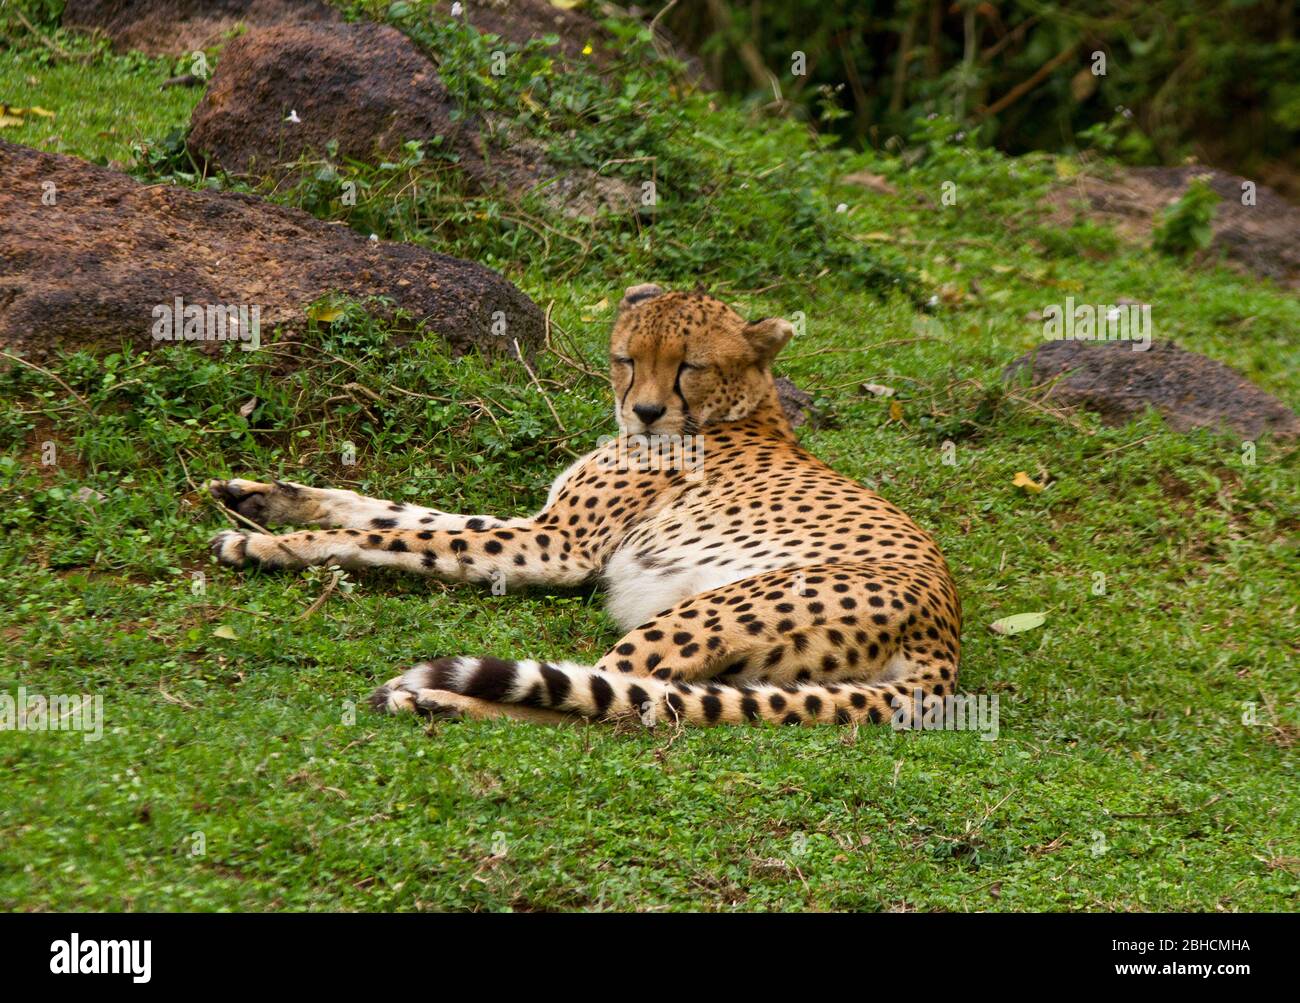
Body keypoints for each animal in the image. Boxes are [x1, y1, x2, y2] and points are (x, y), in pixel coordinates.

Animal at [208, 281, 961, 727]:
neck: (738, 412)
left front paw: (269, 545)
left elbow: (402, 539)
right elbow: (396, 514)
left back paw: (433, 694)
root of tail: (943, 639)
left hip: (705, 612)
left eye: (690, 365)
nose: (646, 411)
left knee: (605, 700)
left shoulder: (556, 545)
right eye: (628, 357)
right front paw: (263, 499)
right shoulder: (540, 528)